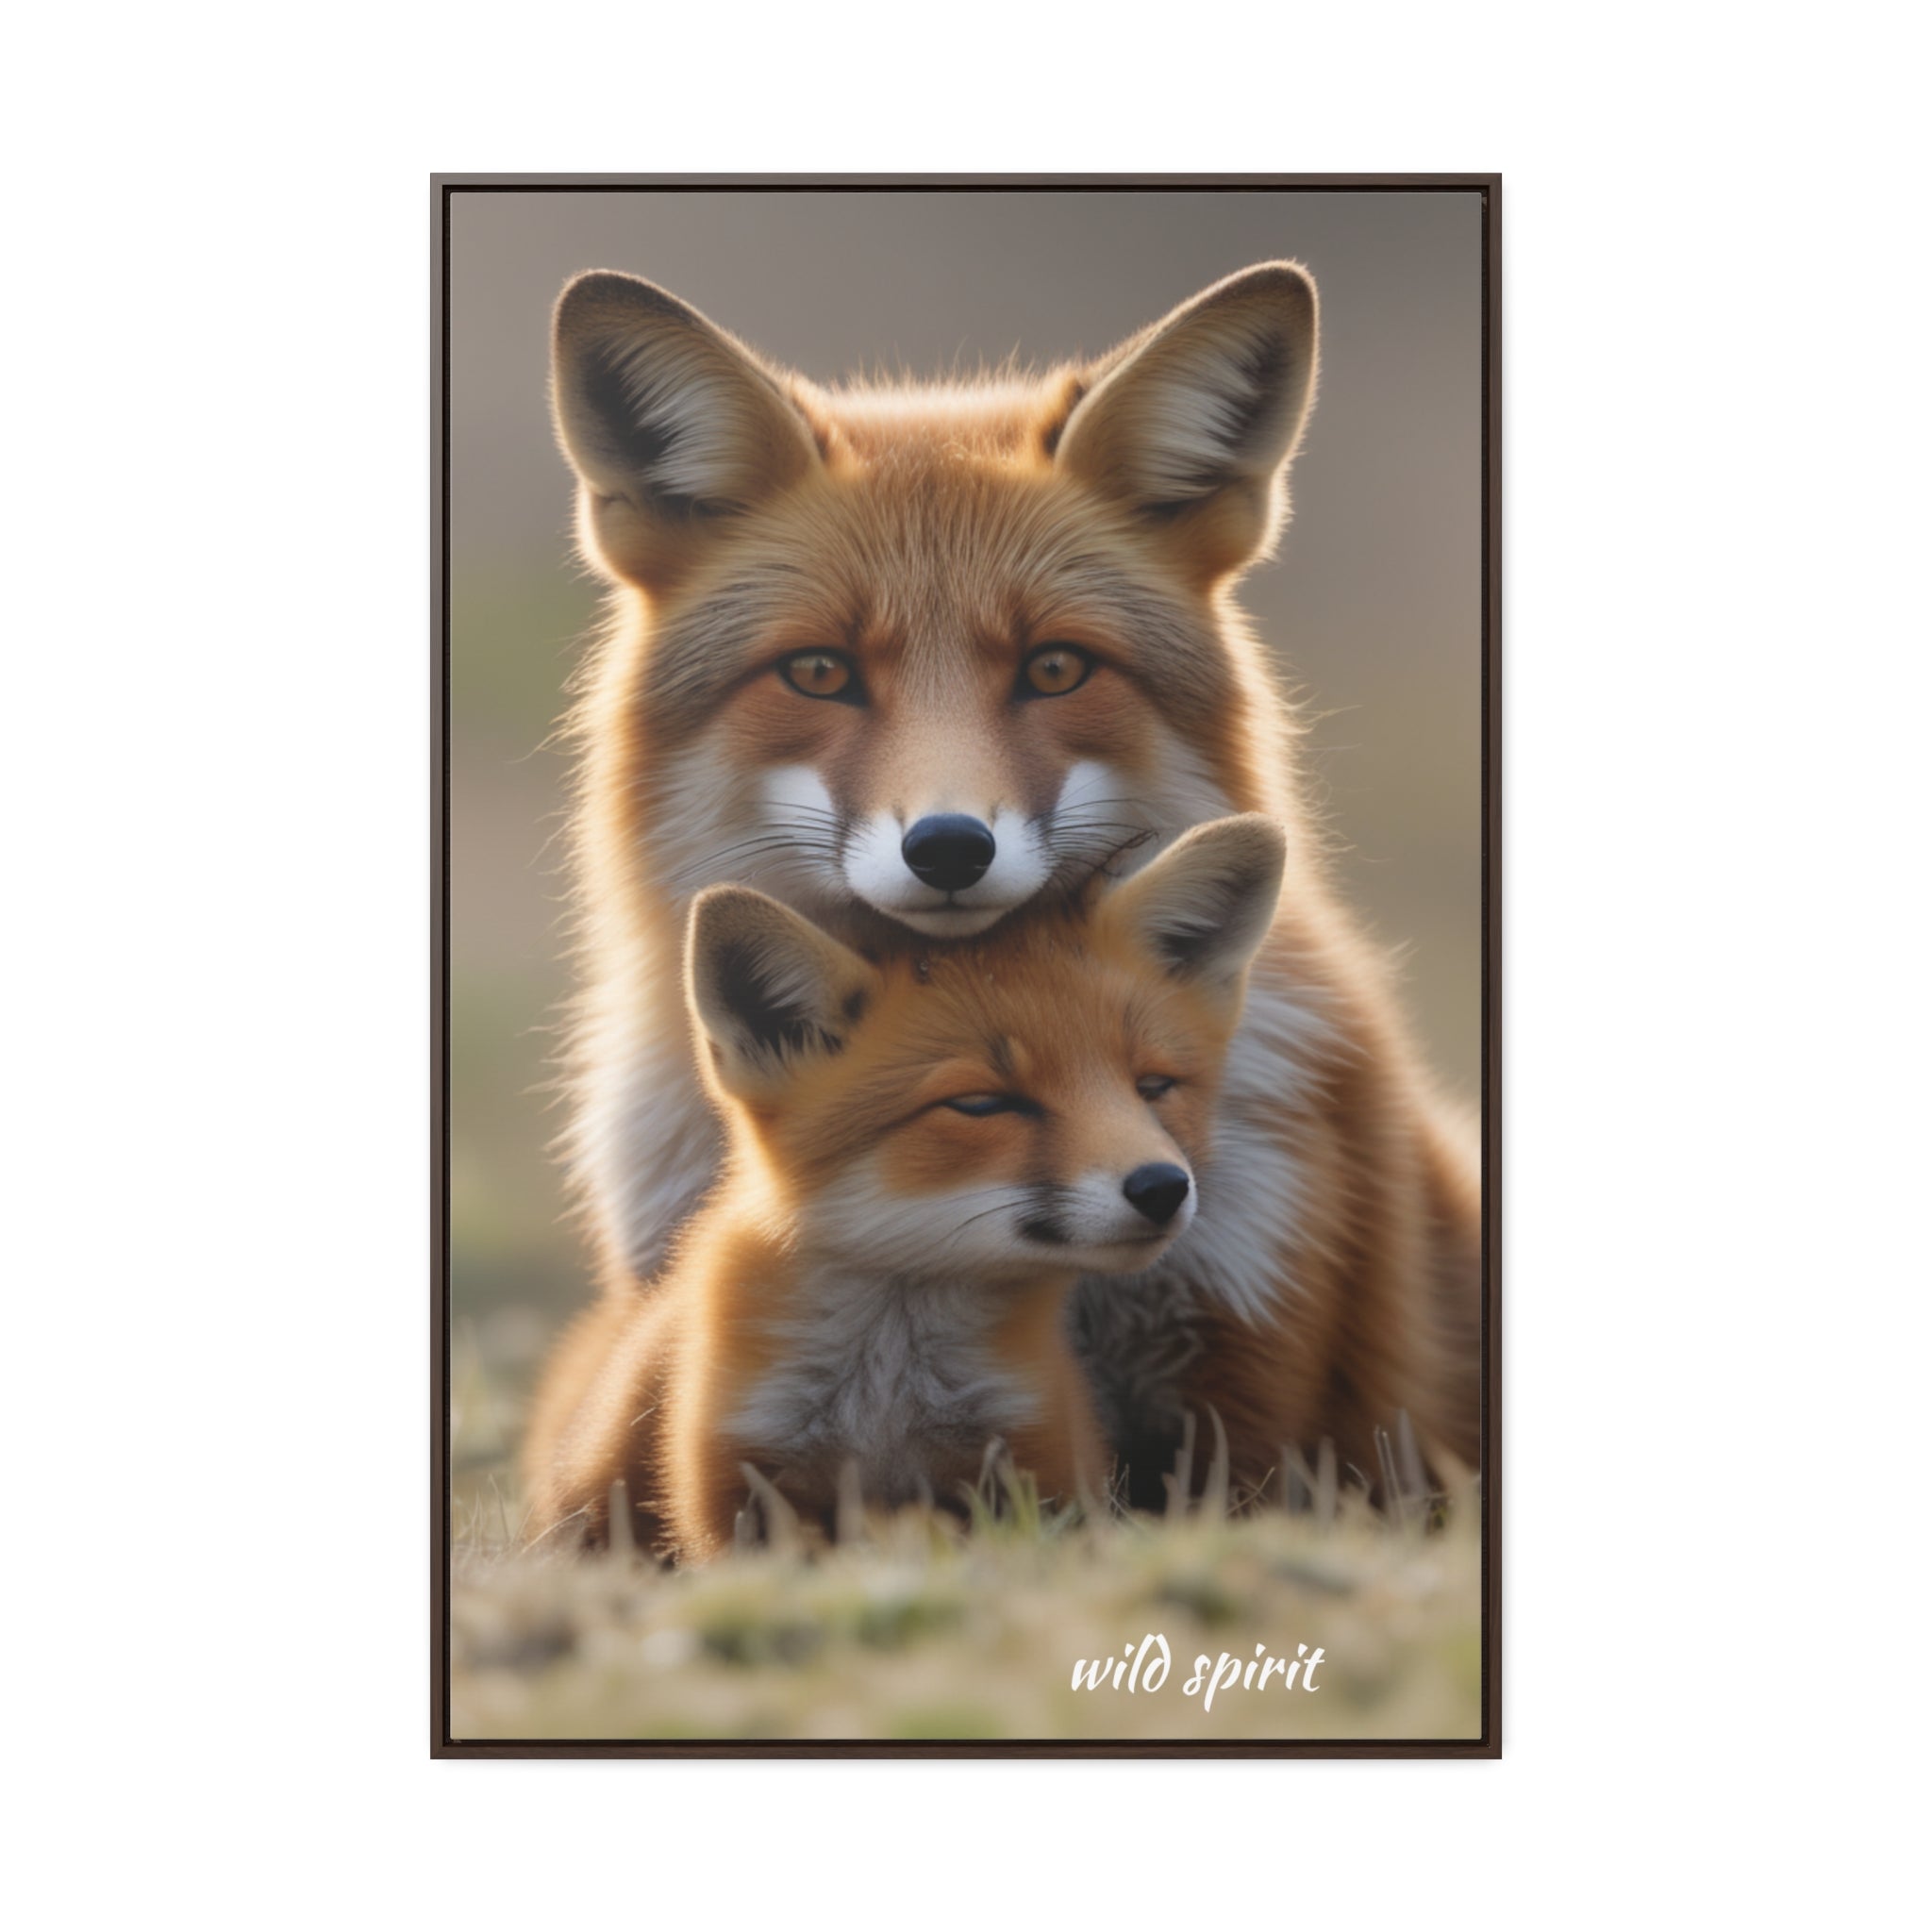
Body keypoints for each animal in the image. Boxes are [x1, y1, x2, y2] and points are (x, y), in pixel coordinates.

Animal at [523, 817, 1287, 1558]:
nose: (1162, 1187)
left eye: (1153, 1087)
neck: (887, 1394)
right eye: (982, 1104)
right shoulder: (736, 1487)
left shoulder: (1037, 1465)